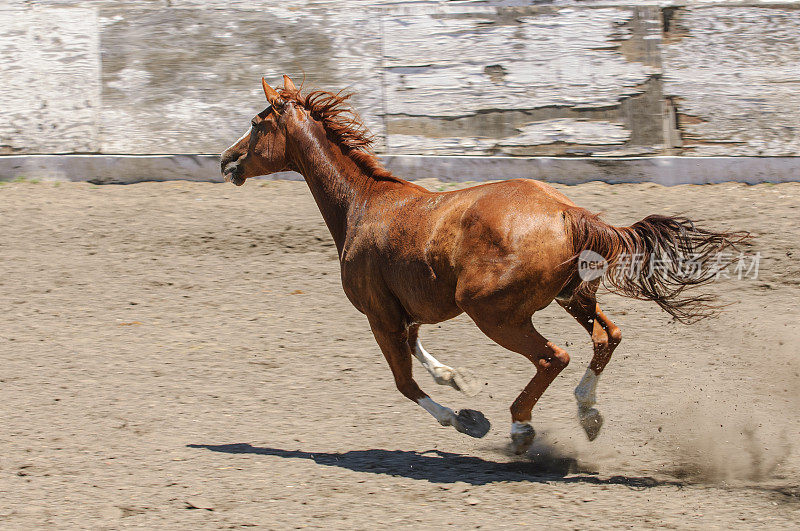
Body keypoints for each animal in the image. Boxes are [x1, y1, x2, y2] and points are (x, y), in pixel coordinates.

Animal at [217, 77, 744, 456]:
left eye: (257, 121)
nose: (227, 160)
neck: (362, 206)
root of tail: (566, 213)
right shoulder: (407, 310)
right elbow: (419, 352)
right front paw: (456, 378)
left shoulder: (379, 316)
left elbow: (405, 382)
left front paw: (467, 419)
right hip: (572, 295)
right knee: (606, 338)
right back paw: (588, 415)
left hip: (494, 313)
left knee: (554, 356)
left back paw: (520, 430)